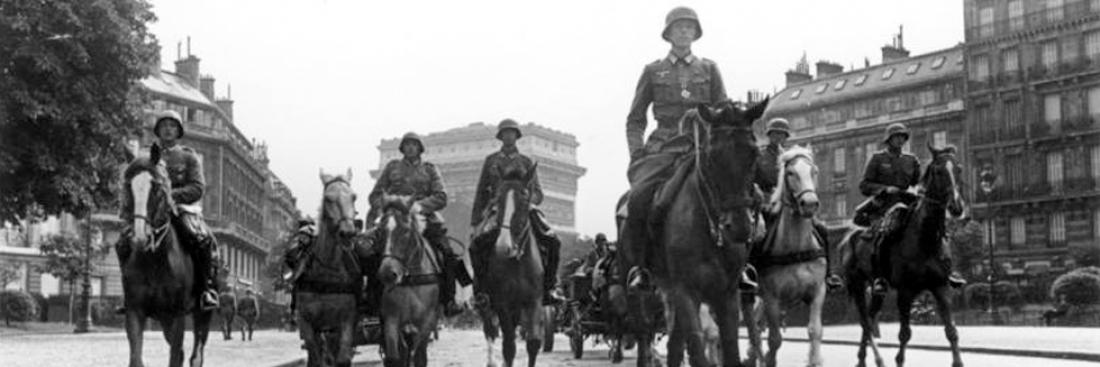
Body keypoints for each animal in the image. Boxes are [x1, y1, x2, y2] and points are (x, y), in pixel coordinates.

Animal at [121, 142, 213, 367]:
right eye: (128, 185)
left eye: (156, 187)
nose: (139, 237)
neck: (154, 260)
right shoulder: (135, 311)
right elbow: (136, 358)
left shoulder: (177, 314)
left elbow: (175, 355)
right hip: (163, 319)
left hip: (202, 313)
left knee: (196, 352)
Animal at [376, 194, 440, 367]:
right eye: (380, 231)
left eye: (405, 231)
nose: (387, 273)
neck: (411, 280)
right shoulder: (392, 319)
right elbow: (395, 357)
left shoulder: (426, 322)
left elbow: (418, 356)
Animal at [479, 165, 547, 367]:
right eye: (497, 200)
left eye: (524, 200)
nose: (503, 247)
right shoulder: (503, 303)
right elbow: (508, 346)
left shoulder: (534, 301)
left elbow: (533, 343)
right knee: (490, 330)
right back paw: (492, 361)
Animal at [743, 146, 827, 367]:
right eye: (790, 173)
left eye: (814, 171)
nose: (810, 204)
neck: (796, 248)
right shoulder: (772, 297)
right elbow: (775, 339)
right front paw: (768, 359)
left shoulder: (818, 291)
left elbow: (815, 331)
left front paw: (815, 360)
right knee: (753, 327)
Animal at [836, 142, 968, 367]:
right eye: (938, 171)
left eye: (958, 169)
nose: (956, 207)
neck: (925, 238)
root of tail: (847, 238)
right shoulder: (906, 292)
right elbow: (904, 334)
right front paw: (898, 359)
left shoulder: (940, 287)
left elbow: (951, 331)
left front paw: (957, 361)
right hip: (857, 284)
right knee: (865, 321)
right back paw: (874, 358)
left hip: (877, 290)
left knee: (869, 318)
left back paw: (863, 359)